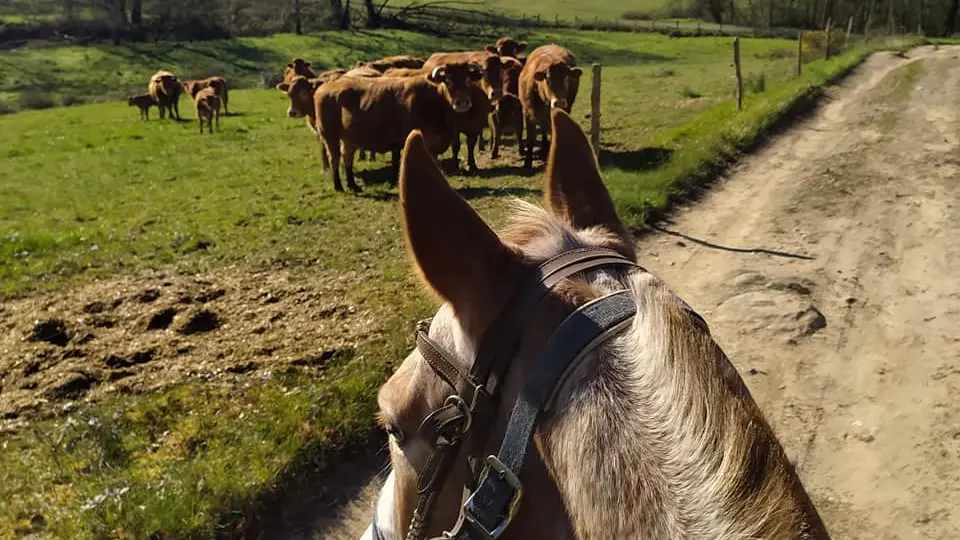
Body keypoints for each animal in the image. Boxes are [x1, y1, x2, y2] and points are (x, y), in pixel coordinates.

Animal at [316, 62, 480, 193]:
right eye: (448, 80)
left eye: (468, 80)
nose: (462, 102)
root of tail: (326, 86)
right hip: (329, 136)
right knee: (334, 158)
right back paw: (338, 186)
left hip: (348, 138)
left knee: (347, 157)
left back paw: (353, 185)